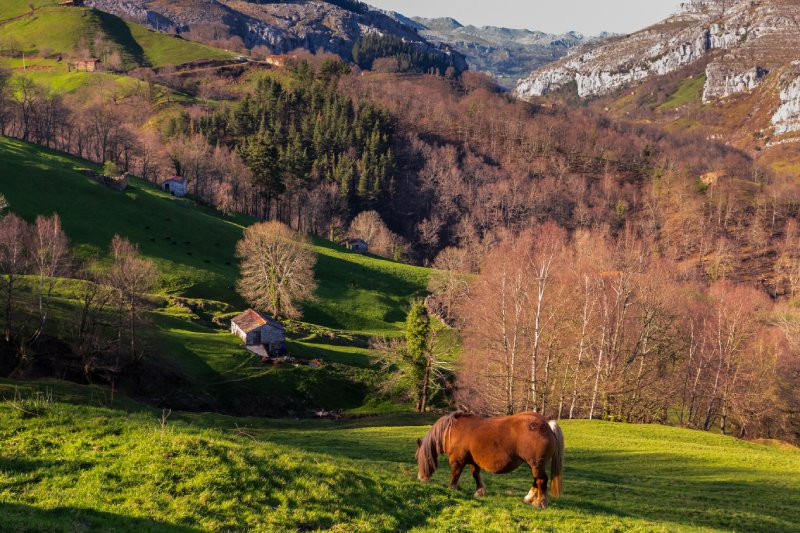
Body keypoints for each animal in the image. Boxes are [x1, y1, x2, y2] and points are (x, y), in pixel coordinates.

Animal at [416, 412, 564, 508]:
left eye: (418, 459)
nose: (420, 478)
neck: (452, 431)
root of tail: (547, 425)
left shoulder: (457, 460)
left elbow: (455, 475)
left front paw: (452, 489)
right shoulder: (473, 462)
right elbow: (476, 475)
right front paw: (480, 491)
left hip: (536, 463)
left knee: (541, 480)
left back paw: (539, 502)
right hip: (534, 464)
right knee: (536, 480)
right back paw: (529, 498)